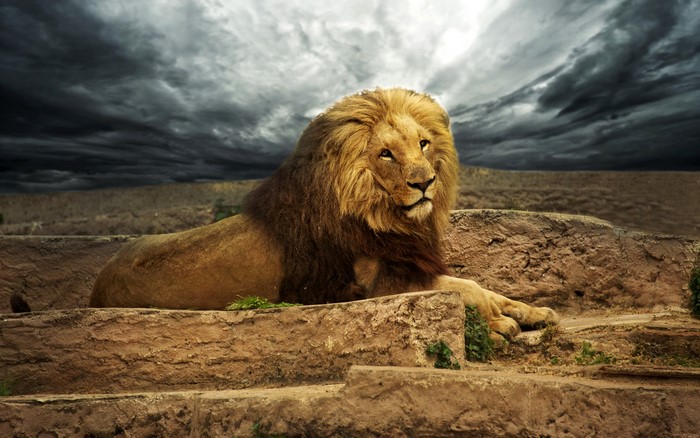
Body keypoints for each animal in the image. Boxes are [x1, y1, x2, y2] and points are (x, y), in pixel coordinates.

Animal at [90, 88, 558, 338]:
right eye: (386, 154)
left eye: (423, 143)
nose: (425, 183)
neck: (382, 213)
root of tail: (98, 284)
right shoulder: (371, 284)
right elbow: (464, 286)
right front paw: (499, 322)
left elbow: (480, 285)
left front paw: (531, 311)